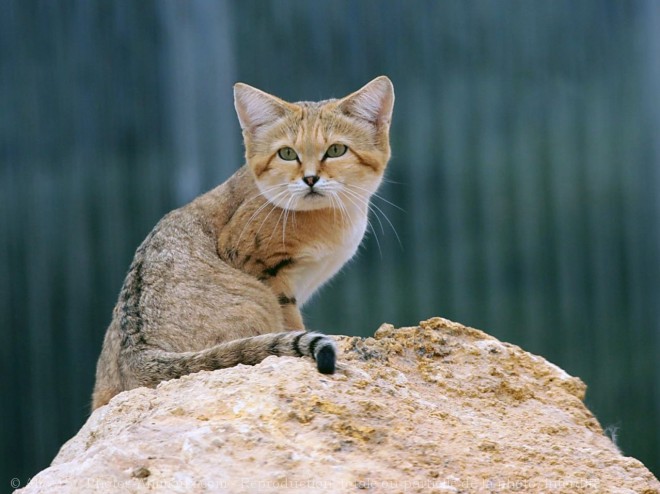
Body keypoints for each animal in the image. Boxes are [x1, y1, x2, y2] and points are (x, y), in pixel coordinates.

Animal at [91, 77, 392, 410]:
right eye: (287, 154)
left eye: (336, 150)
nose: (310, 179)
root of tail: (136, 352)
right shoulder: (258, 264)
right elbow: (291, 320)